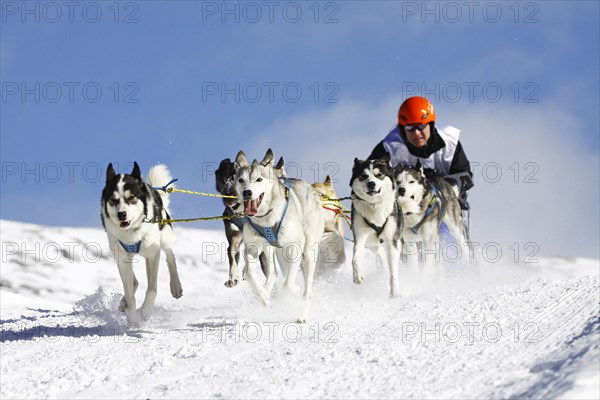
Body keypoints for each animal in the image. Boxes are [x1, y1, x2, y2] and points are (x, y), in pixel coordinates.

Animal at [101, 161, 183, 326]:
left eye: (131, 197)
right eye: (113, 199)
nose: (121, 214)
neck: (132, 231)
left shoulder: (153, 254)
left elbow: (152, 288)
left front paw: (146, 311)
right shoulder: (122, 259)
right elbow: (130, 294)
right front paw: (132, 320)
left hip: (164, 235)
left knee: (170, 257)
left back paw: (175, 286)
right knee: (134, 282)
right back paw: (124, 302)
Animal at [236, 149, 326, 322]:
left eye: (259, 179)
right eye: (241, 180)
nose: (247, 192)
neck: (266, 218)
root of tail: (309, 187)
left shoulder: (295, 246)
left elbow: (287, 286)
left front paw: (292, 292)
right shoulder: (252, 247)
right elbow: (249, 273)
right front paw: (262, 296)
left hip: (309, 251)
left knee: (307, 290)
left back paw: (302, 314)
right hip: (272, 250)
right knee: (273, 273)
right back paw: (266, 291)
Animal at [346, 154, 404, 296]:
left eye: (379, 175)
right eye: (363, 176)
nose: (371, 183)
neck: (374, 205)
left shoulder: (392, 241)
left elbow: (393, 271)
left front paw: (394, 292)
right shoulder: (360, 237)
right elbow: (355, 258)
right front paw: (357, 275)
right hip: (372, 244)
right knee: (380, 255)